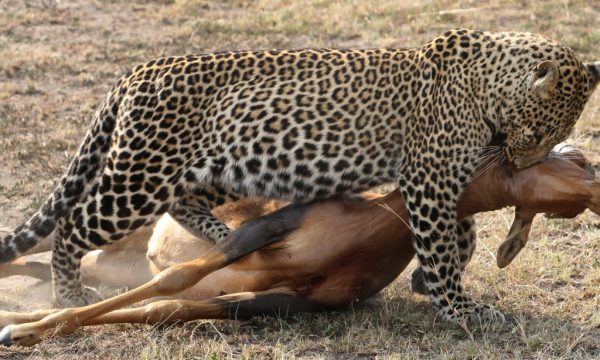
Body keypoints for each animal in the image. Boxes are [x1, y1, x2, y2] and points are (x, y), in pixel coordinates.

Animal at [0, 28, 596, 324]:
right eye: (536, 132)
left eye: (551, 137)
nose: (524, 165)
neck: (488, 85)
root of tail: (139, 69)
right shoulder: (430, 177)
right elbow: (442, 243)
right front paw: (457, 307)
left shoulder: (438, 179)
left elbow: (458, 233)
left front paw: (429, 283)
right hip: (141, 174)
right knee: (73, 225)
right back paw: (68, 295)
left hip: (229, 164)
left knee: (186, 204)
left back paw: (225, 236)